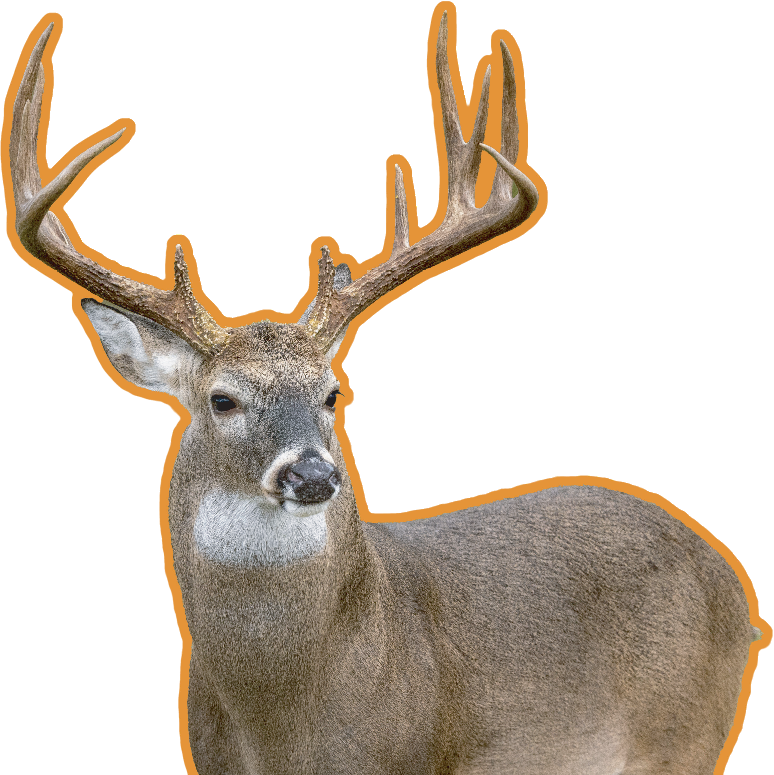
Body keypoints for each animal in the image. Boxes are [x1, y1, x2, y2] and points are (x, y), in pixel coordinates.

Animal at [5, 5, 768, 775]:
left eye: (332, 392)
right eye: (222, 398)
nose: (312, 474)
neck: (286, 724)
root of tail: (734, 586)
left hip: (688, 733)